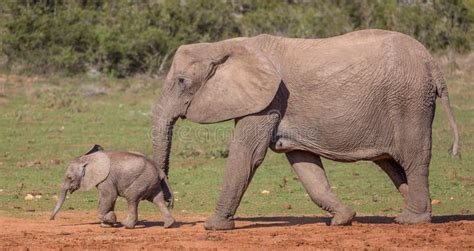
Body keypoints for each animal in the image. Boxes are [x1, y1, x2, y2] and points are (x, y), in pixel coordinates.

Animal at [151, 28, 460, 229]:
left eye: (181, 81)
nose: (171, 205)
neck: (224, 45)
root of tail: (432, 63)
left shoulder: (269, 99)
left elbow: (247, 155)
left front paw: (213, 227)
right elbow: (305, 165)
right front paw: (343, 219)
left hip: (409, 101)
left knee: (413, 158)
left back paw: (412, 220)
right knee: (392, 163)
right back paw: (420, 214)